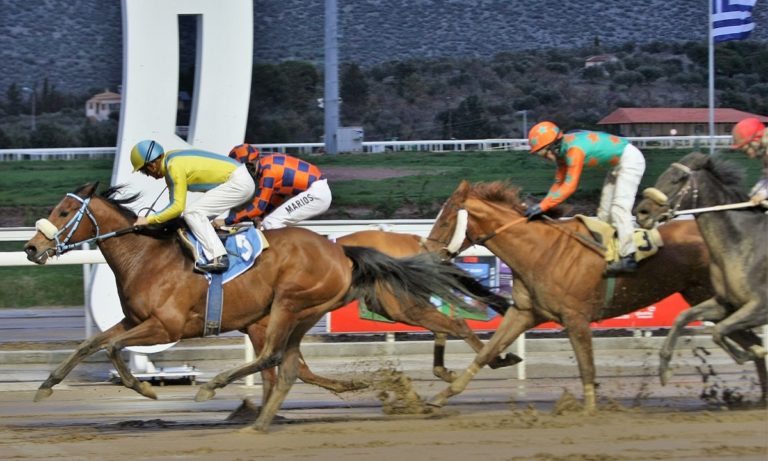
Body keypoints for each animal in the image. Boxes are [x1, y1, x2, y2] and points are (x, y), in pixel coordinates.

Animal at [23, 182, 494, 432]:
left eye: (63, 211)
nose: (30, 248)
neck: (148, 256)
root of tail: (341, 251)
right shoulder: (134, 319)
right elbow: (91, 345)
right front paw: (46, 385)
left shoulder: (166, 327)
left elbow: (113, 349)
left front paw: (145, 388)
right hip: (289, 314)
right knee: (290, 363)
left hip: (295, 304)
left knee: (278, 359)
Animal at [422, 179, 718, 412]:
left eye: (446, 220)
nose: (428, 253)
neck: (543, 251)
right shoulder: (525, 312)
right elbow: (486, 352)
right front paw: (440, 396)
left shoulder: (576, 318)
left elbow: (587, 367)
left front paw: (588, 410)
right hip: (697, 292)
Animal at [635, 152, 767, 402]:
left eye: (677, 178)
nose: (642, 212)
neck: (742, 243)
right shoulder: (726, 304)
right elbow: (684, 317)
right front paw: (664, 370)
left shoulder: (760, 307)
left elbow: (718, 331)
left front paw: (754, 351)